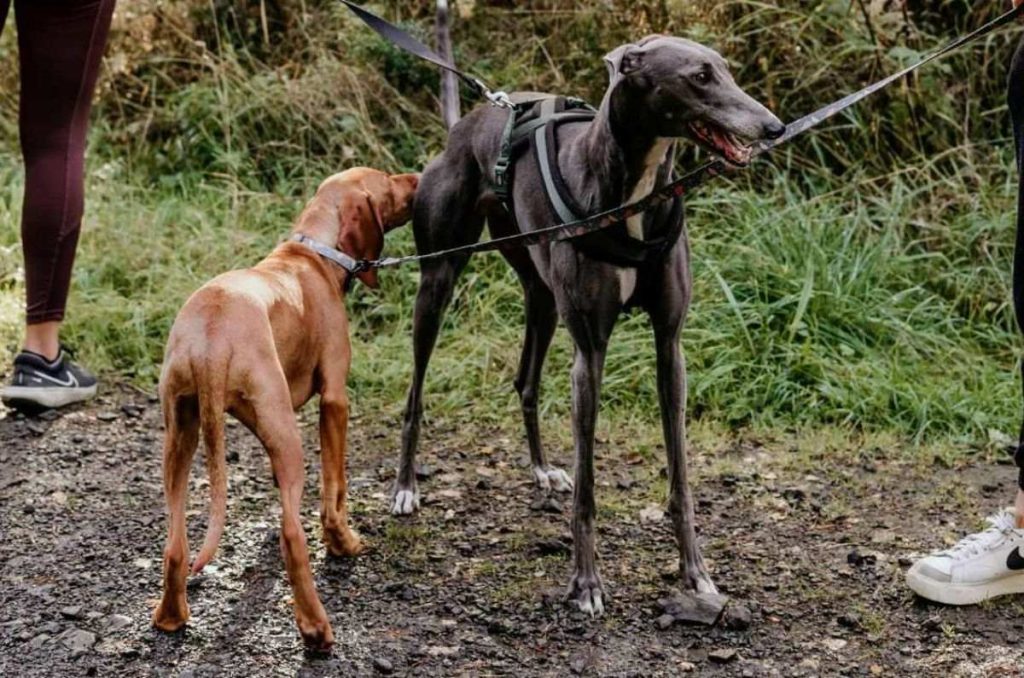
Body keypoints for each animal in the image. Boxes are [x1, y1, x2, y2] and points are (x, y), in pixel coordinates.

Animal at [149, 168, 419, 647]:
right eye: (388, 181)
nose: (420, 178)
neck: (313, 251)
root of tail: (210, 341)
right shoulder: (335, 400)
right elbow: (336, 487)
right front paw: (342, 540)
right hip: (286, 435)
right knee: (292, 534)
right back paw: (316, 625)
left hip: (181, 435)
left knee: (175, 542)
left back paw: (170, 616)